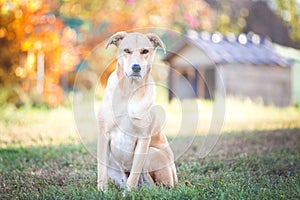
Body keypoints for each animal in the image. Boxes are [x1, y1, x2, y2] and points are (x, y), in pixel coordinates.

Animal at [97, 31, 178, 191]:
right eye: (126, 50)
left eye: (145, 51)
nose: (136, 67)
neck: (129, 92)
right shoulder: (104, 135)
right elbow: (101, 170)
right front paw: (102, 191)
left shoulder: (143, 138)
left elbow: (134, 174)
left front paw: (129, 193)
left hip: (151, 153)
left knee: (154, 185)